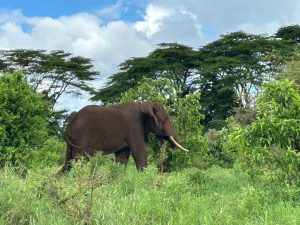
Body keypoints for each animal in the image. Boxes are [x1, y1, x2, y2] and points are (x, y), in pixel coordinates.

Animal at [57, 101, 189, 173]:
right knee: (81, 160)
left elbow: (122, 157)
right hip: (82, 137)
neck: (143, 104)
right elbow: (139, 153)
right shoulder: (134, 127)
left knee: (68, 162)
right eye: (165, 118)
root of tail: (69, 125)